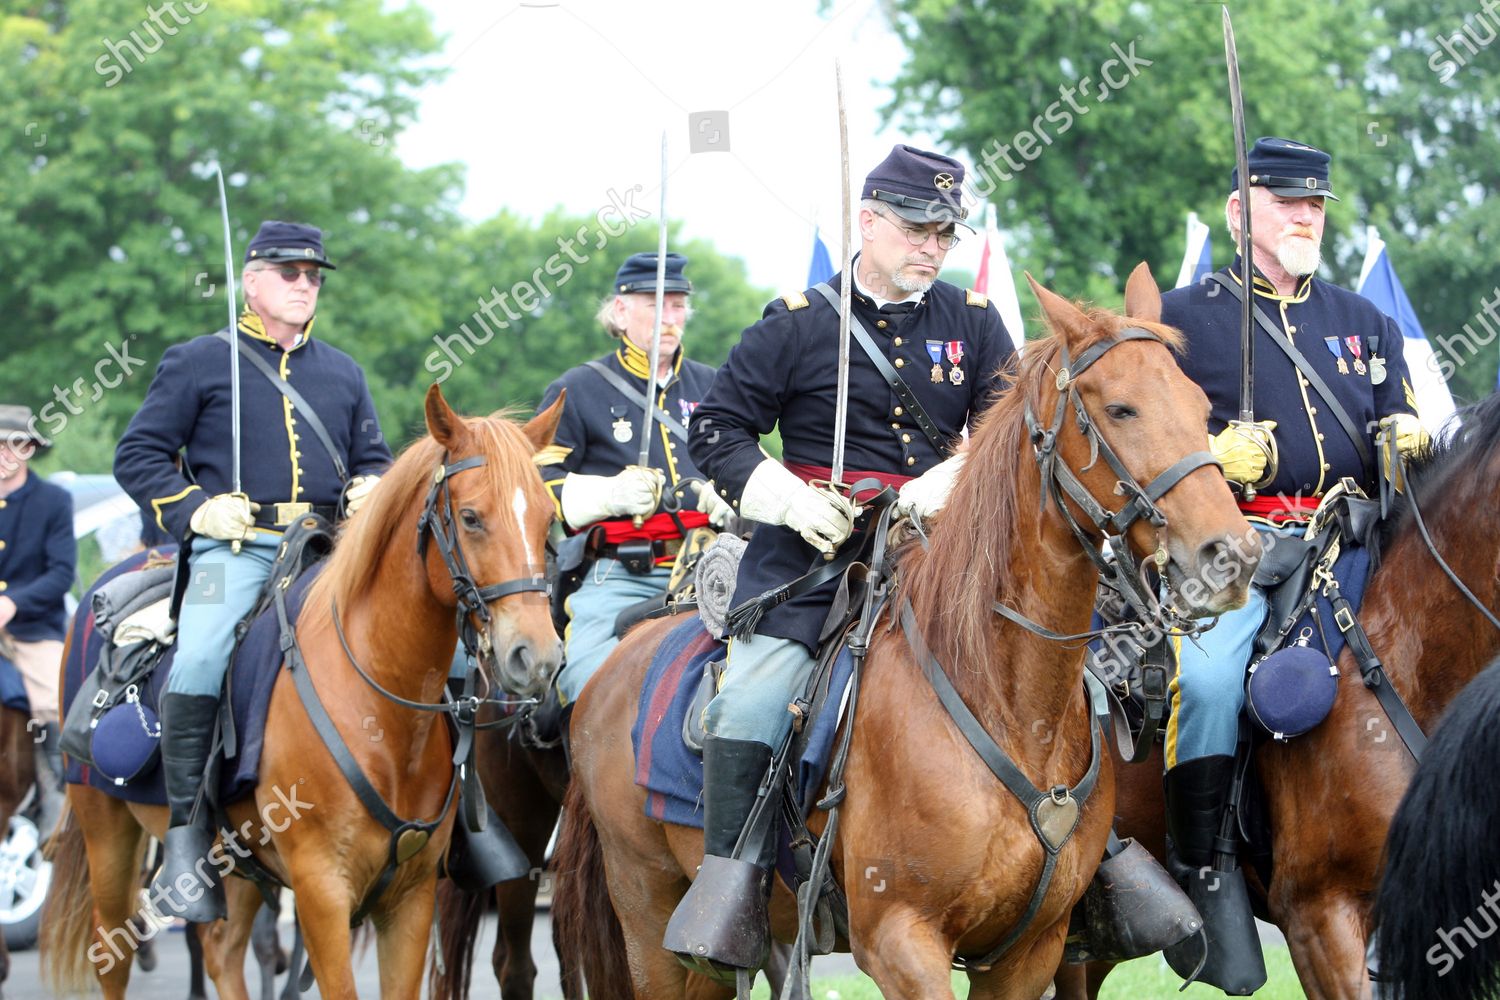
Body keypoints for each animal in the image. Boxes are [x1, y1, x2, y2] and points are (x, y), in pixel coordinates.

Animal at [42, 386, 567, 1000]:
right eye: (470, 517)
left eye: (547, 519)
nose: (537, 656)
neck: (379, 709)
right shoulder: (322, 892)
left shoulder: (410, 898)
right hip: (108, 833)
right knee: (114, 953)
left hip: (235, 865)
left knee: (222, 949)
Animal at [549, 265, 1254, 1000]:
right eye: (1120, 409)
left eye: (1200, 405)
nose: (1232, 556)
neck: (1004, 700)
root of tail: (611, 663)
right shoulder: (899, 941)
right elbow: (720, 425)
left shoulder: (1031, 951)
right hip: (650, 918)